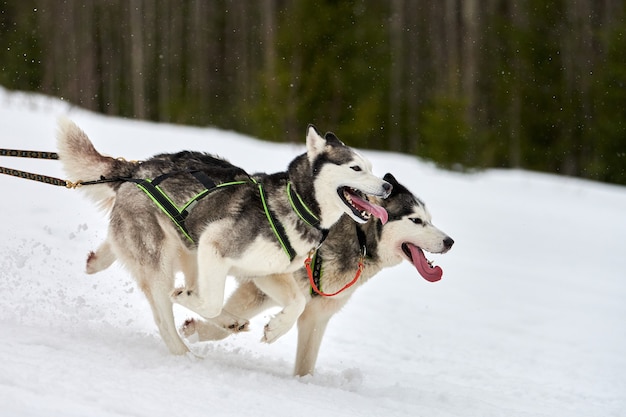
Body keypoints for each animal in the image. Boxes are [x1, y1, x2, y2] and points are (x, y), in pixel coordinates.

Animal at [58, 119, 390, 354]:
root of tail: (137, 170)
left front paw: (276, 328)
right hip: (166, 262)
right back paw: (185, 354)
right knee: (165, 316)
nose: (387, 187)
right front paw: (189, 301)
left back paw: (97, 261)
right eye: (356, 168)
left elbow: (296, 303)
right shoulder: (215, 245)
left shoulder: (266, 272)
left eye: (372, 167)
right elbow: (210, 303)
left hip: (189, 252)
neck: (297, 203)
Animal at [183, 174, 450, 376]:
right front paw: (195, 332)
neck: (360, 239)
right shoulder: (258, 288)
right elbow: (222, 324)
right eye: (416, 220)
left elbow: (305, 364)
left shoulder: (317, 316)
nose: (450, 241)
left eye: (429, 220)